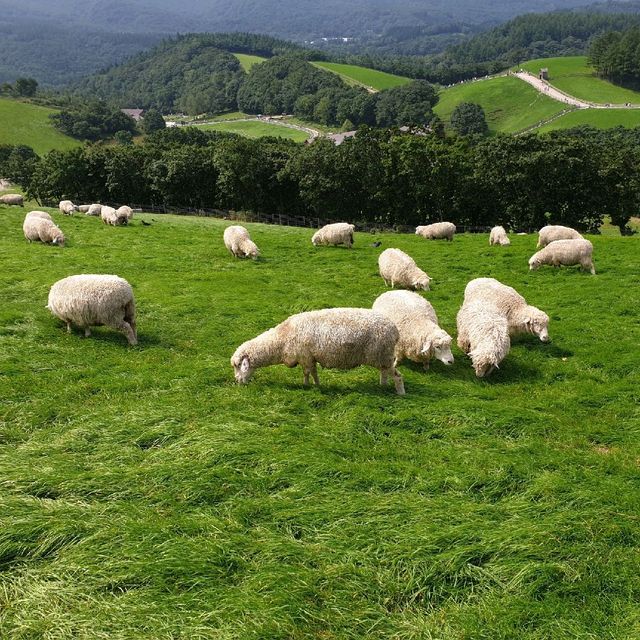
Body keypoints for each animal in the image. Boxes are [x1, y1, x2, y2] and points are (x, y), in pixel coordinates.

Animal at [232, 306, 404, 392]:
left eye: (239, 366)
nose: (238, 382)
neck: (280, 340)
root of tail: (395, 330)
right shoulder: (310, 357)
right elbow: (314, 373)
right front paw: (317, 385)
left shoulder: (305, 357)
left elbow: (306, 373)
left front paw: (306, 386)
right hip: (382, 356)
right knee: (384, 372)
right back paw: (382, 386)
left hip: (383, 355)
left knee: (397, 376)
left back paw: (400, 393)